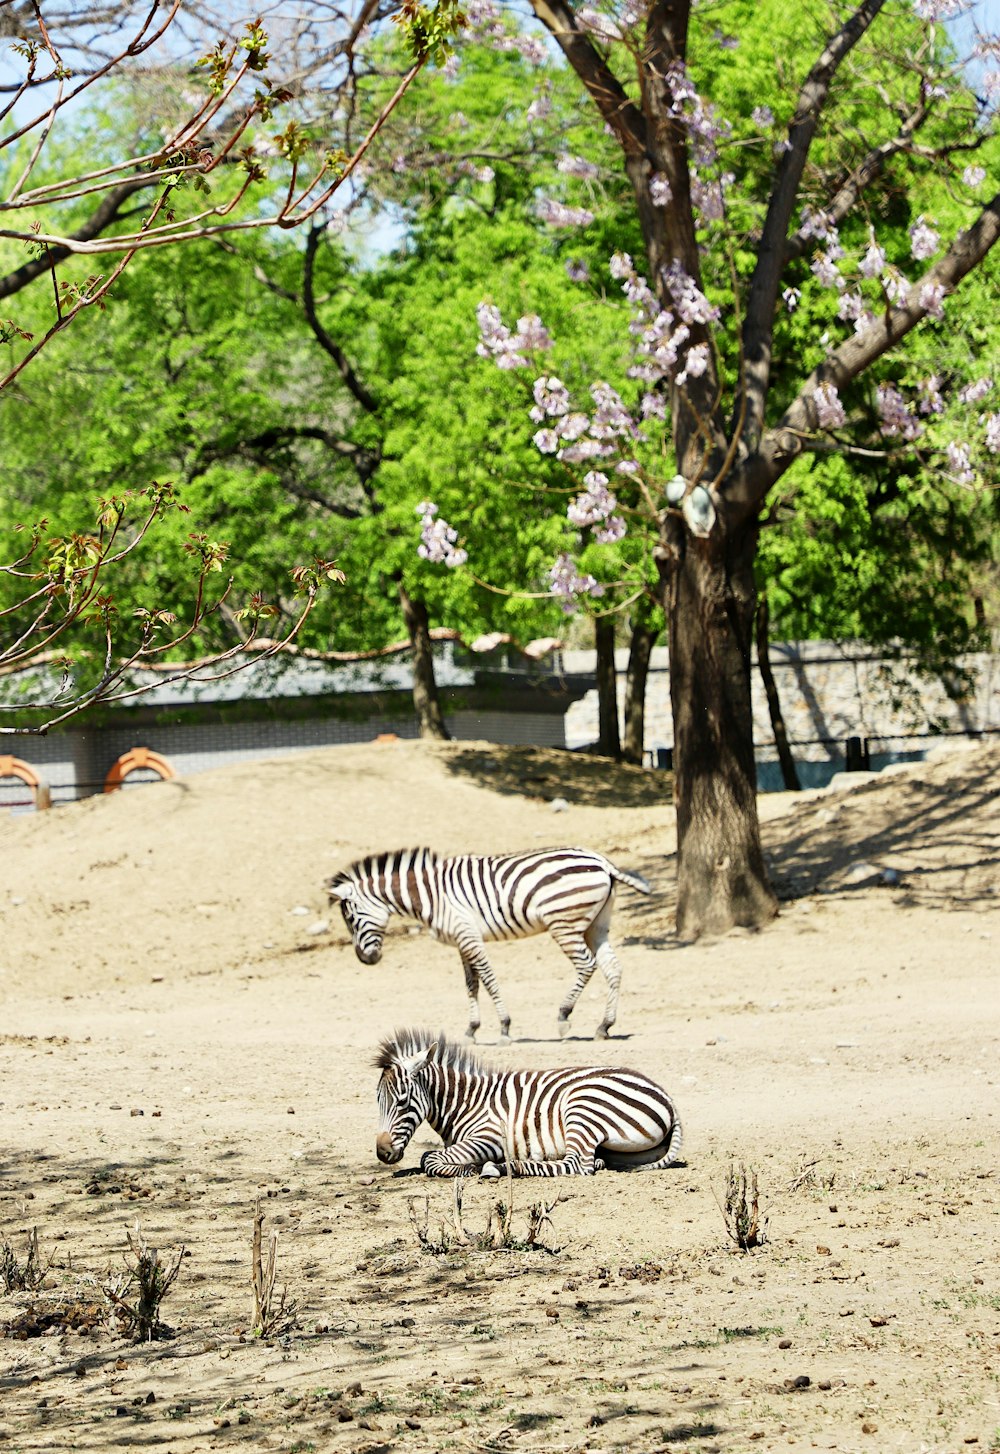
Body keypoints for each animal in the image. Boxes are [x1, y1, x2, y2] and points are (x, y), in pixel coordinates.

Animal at [328, 843, 651, 1046]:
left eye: (351, 918)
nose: (365, 959)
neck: (429, 894)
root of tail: (603, 862)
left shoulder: (468, 934)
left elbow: (488, 979)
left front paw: (505, 1028)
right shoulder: (462, 940)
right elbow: (471, 984)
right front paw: (471, 1030)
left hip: (564, 922)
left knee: (587, 964)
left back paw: (563, 1016)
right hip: (597, 924)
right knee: (613, 967)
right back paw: (604, 1026)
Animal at [370, 1029, 683, 1174]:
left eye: (402, 1102)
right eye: (378, 1102)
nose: (382, 1153)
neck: (467, 1102)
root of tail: (668, 1098)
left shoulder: (490, 1137)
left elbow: (428, 1158)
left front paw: (469, 1168)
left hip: (582, 1108)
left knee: (575, 1165)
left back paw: (501, 1168)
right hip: (629, 1150)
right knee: (587, 1161)